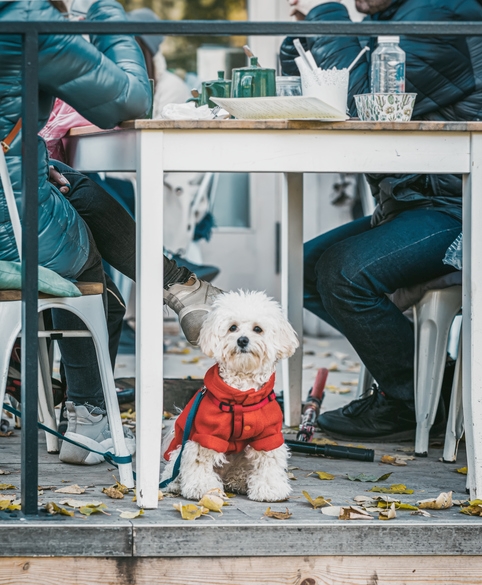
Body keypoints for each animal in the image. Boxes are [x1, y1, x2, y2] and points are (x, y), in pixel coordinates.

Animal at [161, 290, 298, 500]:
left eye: (257, 329)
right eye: (233, 327)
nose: (242, 340)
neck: (242, 392)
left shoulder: (269, 434)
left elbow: (269, 461)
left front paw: (270, 488)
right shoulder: (206, 433)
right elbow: (199, 460)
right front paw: (202, 488)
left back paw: (239, 481)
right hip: (178, 450)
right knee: (172, 470)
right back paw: (175, 484)